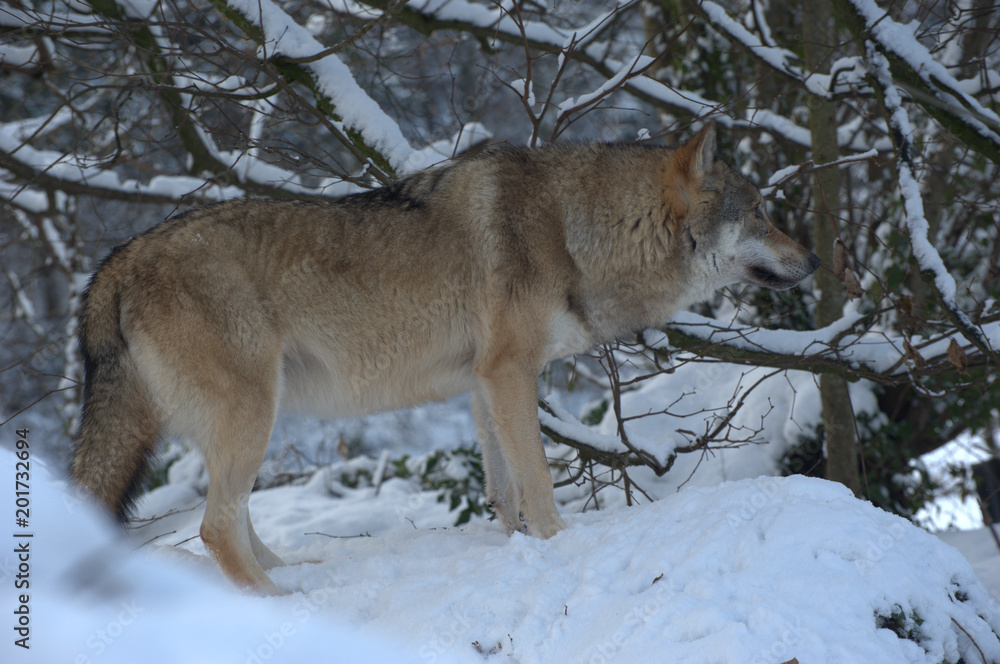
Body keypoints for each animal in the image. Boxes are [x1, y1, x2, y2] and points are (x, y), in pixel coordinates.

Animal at [72, 122, 820, 594]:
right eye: (759, 211)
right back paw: (284, 600)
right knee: (215, 526)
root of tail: (117, 258)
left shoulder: (483, 383)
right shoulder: (512, 374)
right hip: (254, 412)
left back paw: (291, 574)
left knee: (232, 520)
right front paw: (559, 544)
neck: (576, 229)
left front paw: (521, 549)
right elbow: (538, 482)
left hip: (246, 420)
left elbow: (504, 491)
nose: (813, 261)